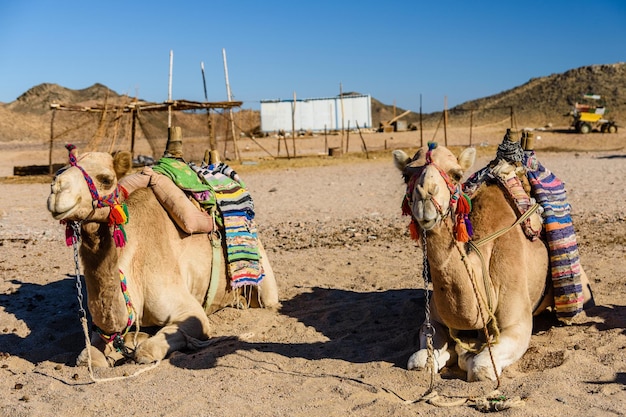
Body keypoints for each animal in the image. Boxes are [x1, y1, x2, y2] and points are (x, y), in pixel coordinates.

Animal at [46, 150, 276, 368]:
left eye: (106, 179)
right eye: (60, 171)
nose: (57, 190)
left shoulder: (192, 313)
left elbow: (148, 349)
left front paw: (140, 344)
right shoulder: (100, 330)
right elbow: (88, 356)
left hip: (264, 282)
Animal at [392, 144, 592, 380]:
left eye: (456, 174)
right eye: (406, 175)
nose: (425, 196)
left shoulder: (517, 324)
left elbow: (481, 367)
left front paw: (465, 354)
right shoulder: (432, 322)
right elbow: (419, 361)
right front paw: (451, 352)